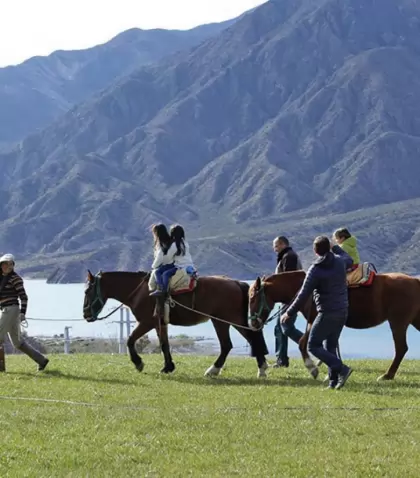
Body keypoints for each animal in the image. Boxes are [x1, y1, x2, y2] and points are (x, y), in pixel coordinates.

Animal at [83, 268, 270, 378]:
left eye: (87, 291)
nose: (86, 314)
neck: (142, 291)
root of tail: (236, 283)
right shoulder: (160, 323)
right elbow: (164, 344)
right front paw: (168, 367)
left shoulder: (146, 322)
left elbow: (130, 340)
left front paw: (138, 363)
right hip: (227, 321)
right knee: (242, 341)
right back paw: (258, 368)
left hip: (225, 321)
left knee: (233, 344)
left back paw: (217, 369)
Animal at [248, 272, 420, 380]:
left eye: (252, 298)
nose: (253, 323)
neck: (306, 288)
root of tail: (415, 281)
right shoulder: (317, 322)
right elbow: (322, 344)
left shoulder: (315, 319)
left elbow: (304, 343)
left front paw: (313, 368)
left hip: (398, 322)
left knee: (401, 348)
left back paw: (387, 375)